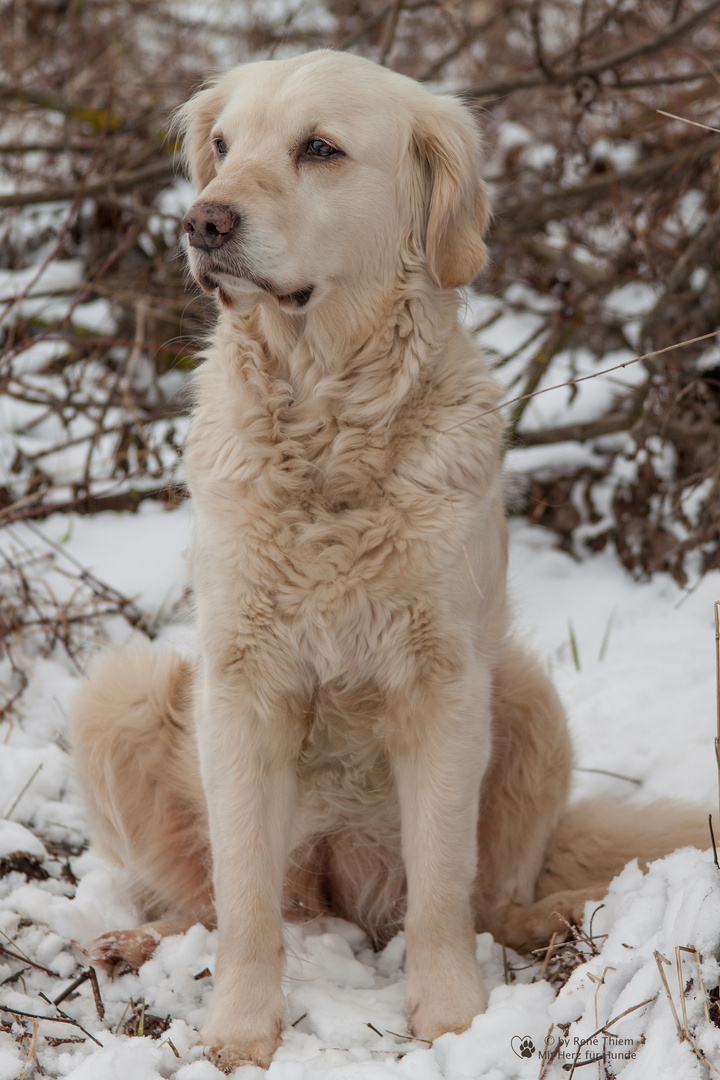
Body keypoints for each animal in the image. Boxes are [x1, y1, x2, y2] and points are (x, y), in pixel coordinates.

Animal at [71, 50, 703, 1071]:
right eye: (223, 146)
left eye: (318, 149)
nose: (202, 221)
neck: (327, 418)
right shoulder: (239, 686)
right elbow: (242, 900)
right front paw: (239, 1035)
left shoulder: (443, 684)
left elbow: (443, 885)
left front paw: (453, 1022)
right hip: (118, 693)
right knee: (221, 903)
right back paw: (135, 942)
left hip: (529, 697)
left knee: (496, 903)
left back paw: (562, 915)